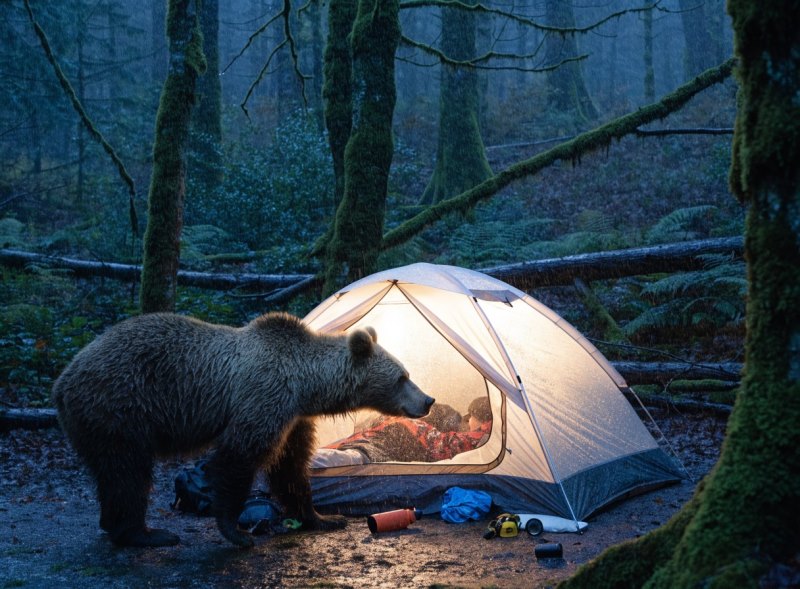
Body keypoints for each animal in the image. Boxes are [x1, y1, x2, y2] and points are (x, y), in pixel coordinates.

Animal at [51, 311, 434, 548]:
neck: (306, 386)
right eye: (402, 377)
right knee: (128, 473)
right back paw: (146, 533)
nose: (428, 400)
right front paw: (235, 532)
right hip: (121, 408)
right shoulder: (264, 395)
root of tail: (62, 381)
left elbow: (291, 467)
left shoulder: (293, 417)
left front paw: (322, 517)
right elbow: (240, 456)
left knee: (115, 474)